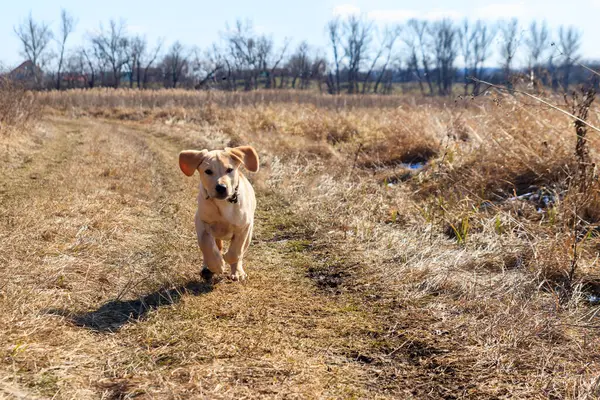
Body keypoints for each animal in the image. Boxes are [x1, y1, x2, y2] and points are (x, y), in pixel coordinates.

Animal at [180, 146, 260, 282]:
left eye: (229, 170)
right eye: (208, 171)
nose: (221, 187)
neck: (223, 203)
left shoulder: (244, 227)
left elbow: (236, 250)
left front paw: (229, 260)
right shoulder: (201, 222)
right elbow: (206, 245)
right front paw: (216, 265)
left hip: (249, 233)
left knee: (241, 252)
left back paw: (237, 271)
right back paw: (207, 268)